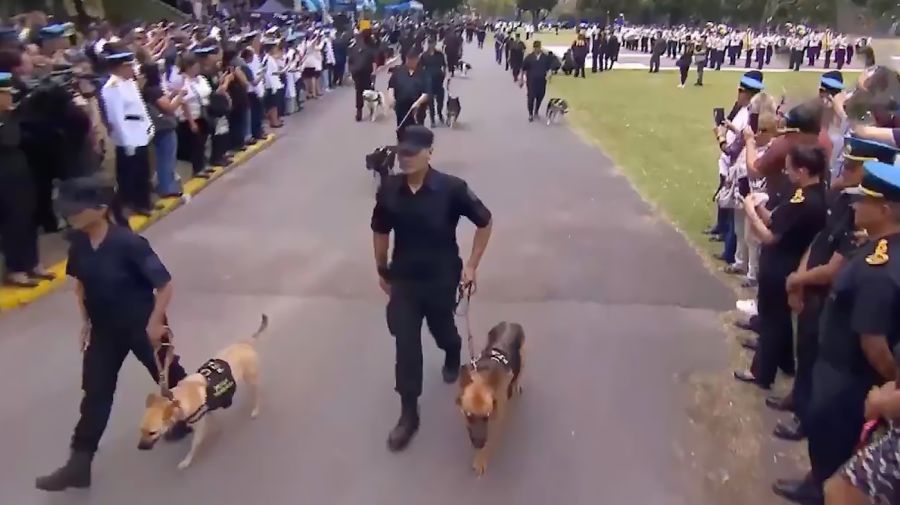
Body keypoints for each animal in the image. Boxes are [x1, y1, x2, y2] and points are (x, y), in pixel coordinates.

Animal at [135, 316, 266, 468]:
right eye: (141, 430)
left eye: (153, 433)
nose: (140, 447)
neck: (178, 399)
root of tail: (245, 343)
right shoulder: (206, 411)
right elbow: (212, 420)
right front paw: (216, 429)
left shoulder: (198, 430)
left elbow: (193, 447)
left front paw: (186, 461)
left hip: (251, 380)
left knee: (258, 394)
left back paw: (256, 409)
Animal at [460, 320, 524, 474]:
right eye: (469, 415)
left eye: (486, 416)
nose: (478, 444)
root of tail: (510, 322)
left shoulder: (495, 422)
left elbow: (489, 441)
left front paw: (481, 459)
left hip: (523, 357)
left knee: (520, 372)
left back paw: (516, 384)